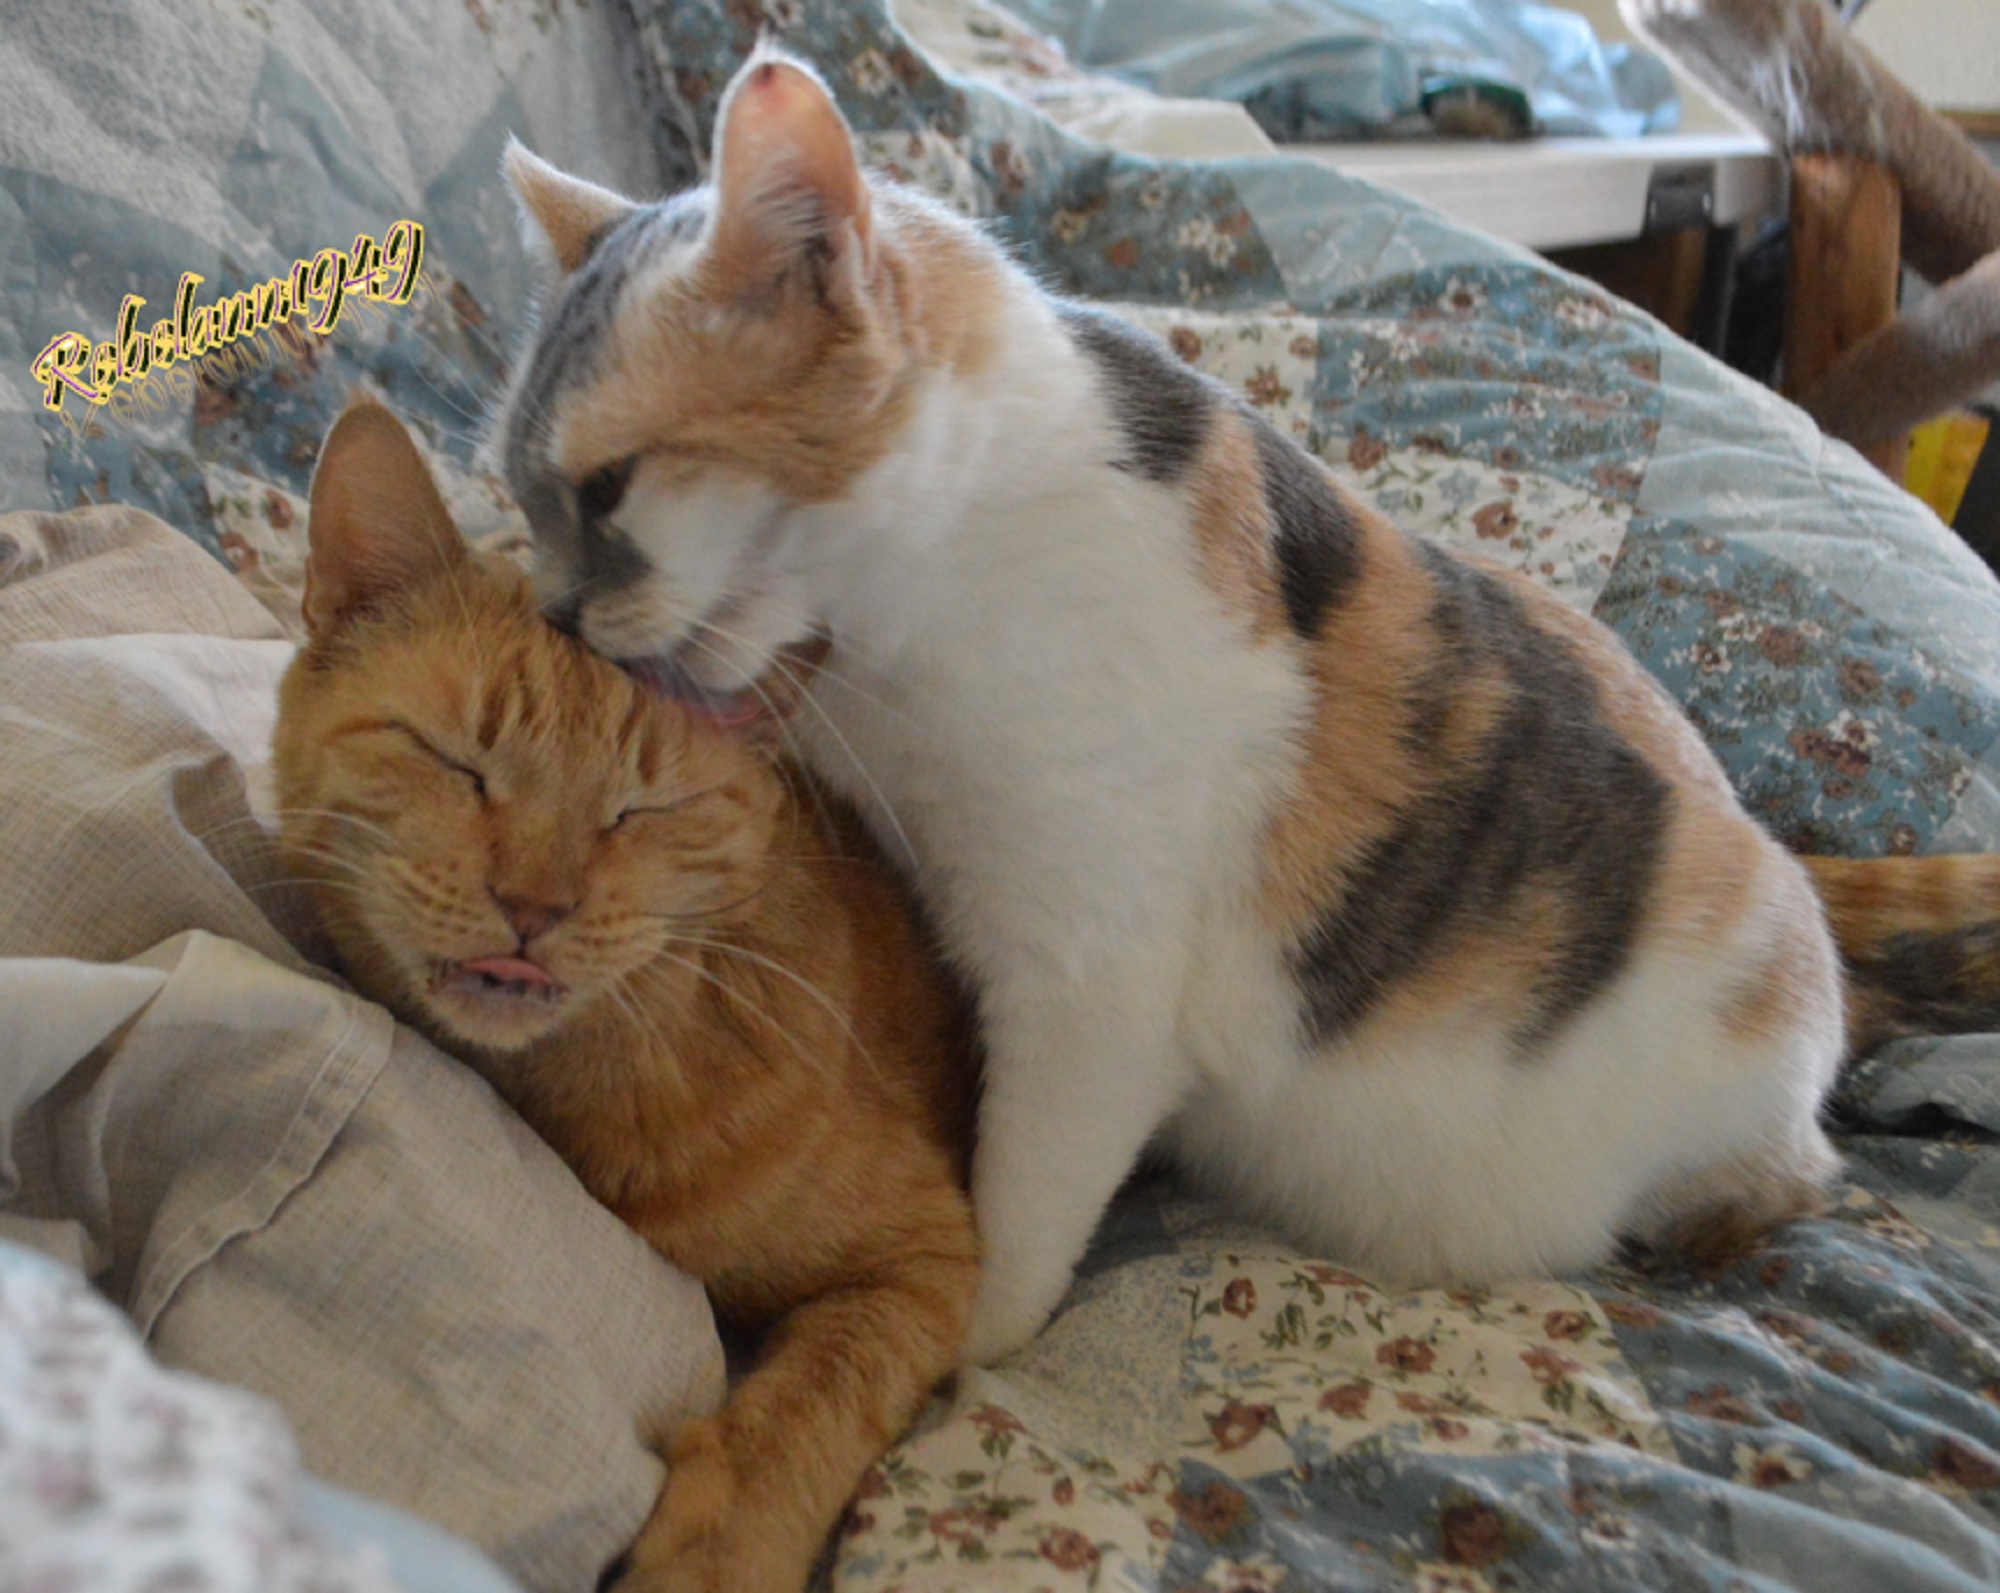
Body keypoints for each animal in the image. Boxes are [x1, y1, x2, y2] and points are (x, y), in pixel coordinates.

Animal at [266, 404, 984, 1593]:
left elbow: (808, 1408)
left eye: (641, 811)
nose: (534, 903)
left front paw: (714, 1552)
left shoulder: (924, 1261)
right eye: (457, 763)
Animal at [492, 49, 2000, 1368]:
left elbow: (1014, 1219)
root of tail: (1786, 867)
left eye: (608, 488)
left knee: (1798, 1174)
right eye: (520, 497)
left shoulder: (1087, 993)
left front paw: (966, 1356)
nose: (556, 611)